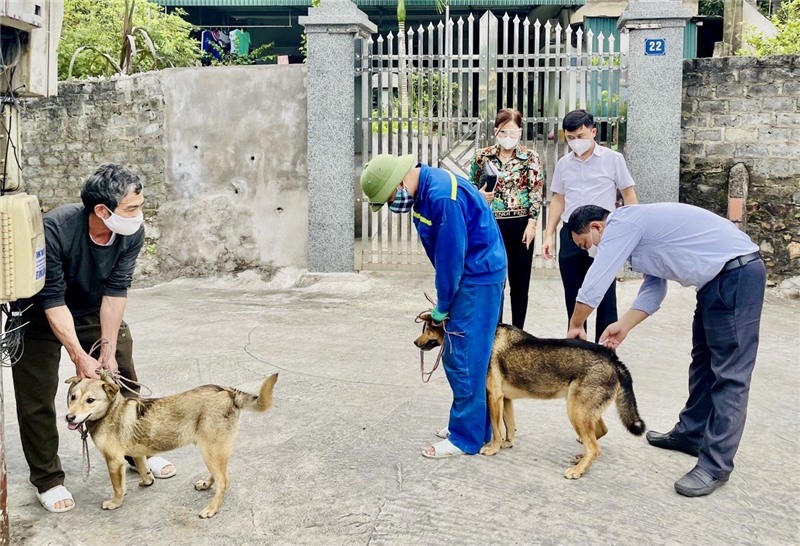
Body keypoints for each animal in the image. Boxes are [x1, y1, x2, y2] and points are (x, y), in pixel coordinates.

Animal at [65, 372, 278, 516]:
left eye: (90, 400)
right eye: (72, 397)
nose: (69, 417)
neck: (110, 411)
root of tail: (228, 392)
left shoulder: (114, 461)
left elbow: (117, 486)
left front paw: (115, 502)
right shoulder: (136, 452)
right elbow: (142, 468)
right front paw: (146, 480)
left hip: (210, 450)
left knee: (224, 481)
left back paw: (212, 508)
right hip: (213, 450)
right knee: (220, 476)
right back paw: (206, 484)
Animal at [412, 312, 644, 478]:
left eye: (427, 329)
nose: (415, 343)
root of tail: (614, 359)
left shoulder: (494, 397)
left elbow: (496, 429)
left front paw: (493, 449)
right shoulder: (505, 400)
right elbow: (509, 427)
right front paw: (506, 444)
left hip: (576, 412)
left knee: (595, 448)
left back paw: (578, 470)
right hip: (583, 411)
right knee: (599, 434)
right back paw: (581, 459)